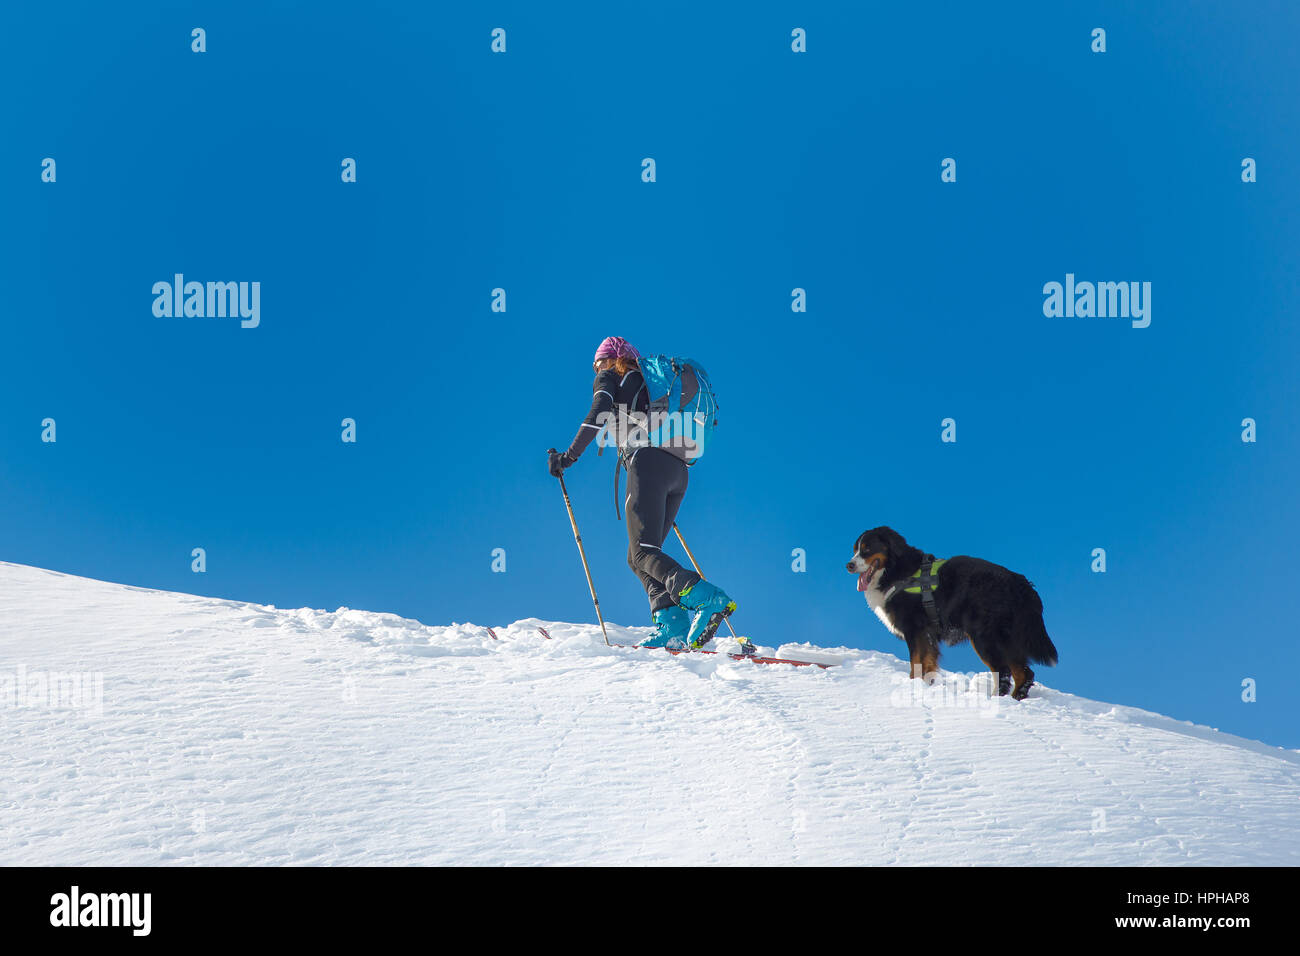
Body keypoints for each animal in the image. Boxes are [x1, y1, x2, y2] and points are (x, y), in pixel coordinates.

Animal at [852, 528, 1055, 697]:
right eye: (855, 550)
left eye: (867, 549)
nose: (849, 565)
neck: (897, 571)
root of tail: (1019, 582)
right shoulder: (927, 634)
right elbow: (927, 664)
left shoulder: (915, 629)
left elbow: (915, 664)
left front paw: (913, 687)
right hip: (1007, 639)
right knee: (1024, 673)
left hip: (983, 636)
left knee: (1004, 671)